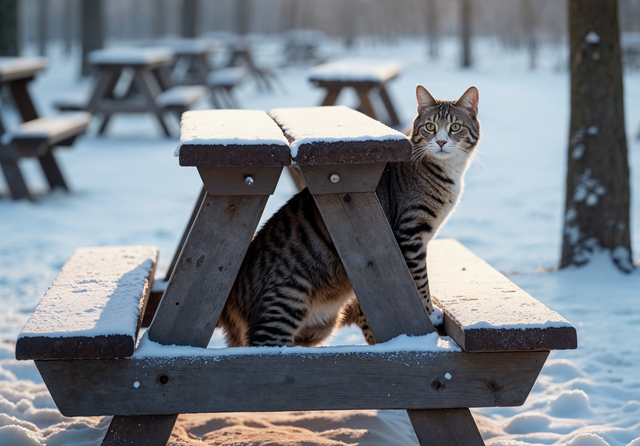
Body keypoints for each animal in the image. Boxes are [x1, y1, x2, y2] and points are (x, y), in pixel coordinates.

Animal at [218, 85, 478, 346]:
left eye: (455, 127)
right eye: (430, 127)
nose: (441, 141)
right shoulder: (409, 234)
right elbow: (420, 280)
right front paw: (428, 313)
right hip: (285, 300)